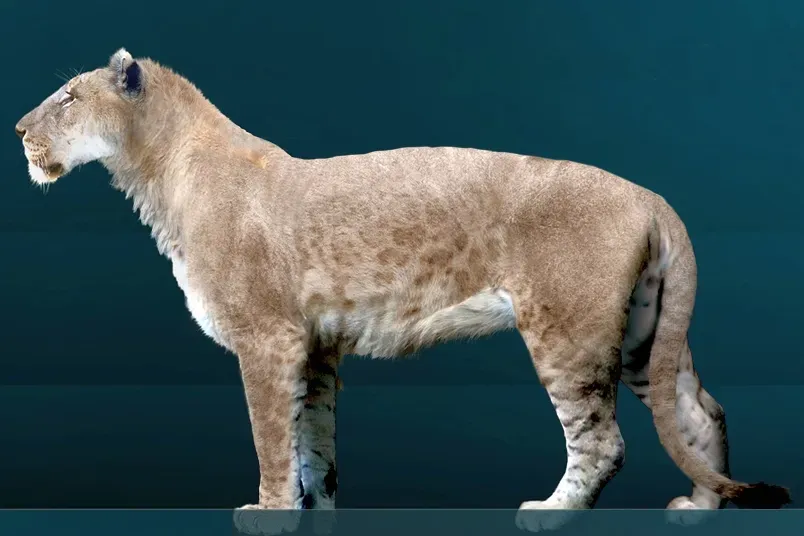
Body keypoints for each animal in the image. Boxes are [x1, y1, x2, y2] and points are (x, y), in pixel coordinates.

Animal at [15, 48, 790, 533]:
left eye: (69, 96)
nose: (19, 130)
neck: (160, 174)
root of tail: (652, 196)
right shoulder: (315, 346)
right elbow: (313, 444)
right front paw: (314, 508)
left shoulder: (269, 339)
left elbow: (271, 437)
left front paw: (267, 514)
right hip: (641, 333)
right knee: (700, 411)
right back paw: (702, 505)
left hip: (568, 331)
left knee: (603, 441)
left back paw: (550, 512)